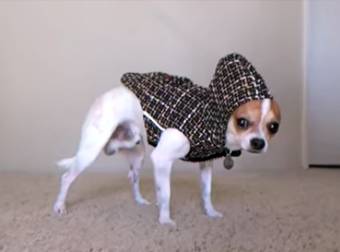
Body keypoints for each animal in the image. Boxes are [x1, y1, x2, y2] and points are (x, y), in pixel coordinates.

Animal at [53, 53, 282, 224]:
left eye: (273, 127)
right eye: (242, 122)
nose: (258, 142)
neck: (214, 120)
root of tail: (104, 95)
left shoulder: (205, 164)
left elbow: (206, 192)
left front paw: (210, 213)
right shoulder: (162, 159)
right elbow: (166, 194)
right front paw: (165, 221)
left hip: (136, 151)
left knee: (130, 173)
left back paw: (139, 200)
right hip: (90, 151)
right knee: (67, 177)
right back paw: (59, 206)